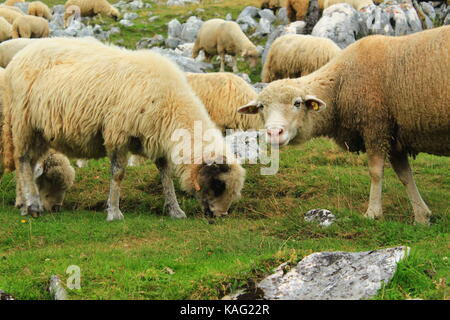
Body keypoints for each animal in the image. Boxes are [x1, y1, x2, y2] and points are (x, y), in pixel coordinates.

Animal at [1, 37, 246, 221]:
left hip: (41, 132)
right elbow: (118, 174)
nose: (220, 215)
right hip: (23, 123)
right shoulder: (117, 134)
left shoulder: (155, 138)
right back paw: (32, 205)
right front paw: (114, 212)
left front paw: (175, 210)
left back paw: (25, 203)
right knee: (23, 161)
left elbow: (165, 175)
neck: (171, 104)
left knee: (31, 163)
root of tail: (19, 57)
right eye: (219, 184)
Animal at [239, 26, 450, 225]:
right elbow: (405, 176)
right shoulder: (394, 136)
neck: (340, 84)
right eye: (261, 107)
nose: (274, 133)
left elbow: (375, 172)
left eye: (297, 103)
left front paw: (373, 213)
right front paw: (422, 216)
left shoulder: (376, 127)